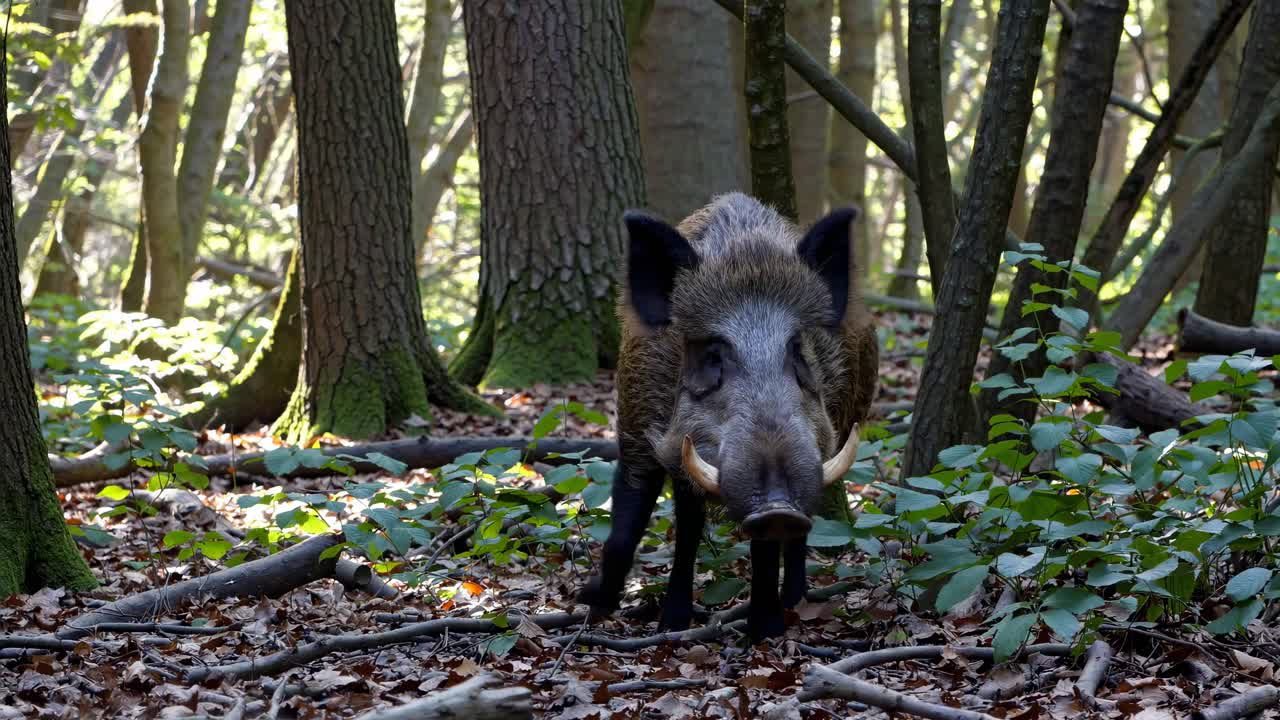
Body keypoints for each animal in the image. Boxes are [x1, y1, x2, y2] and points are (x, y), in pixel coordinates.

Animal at [578, 193, 879, 640]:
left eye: (797, 349)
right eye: (713, 354)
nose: (778, 507)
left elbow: (766, 548)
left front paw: (766, 631)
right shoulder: (634, 429)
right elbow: (630, 527)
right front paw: (603, 607)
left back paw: (795, 603)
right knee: (688, 522)